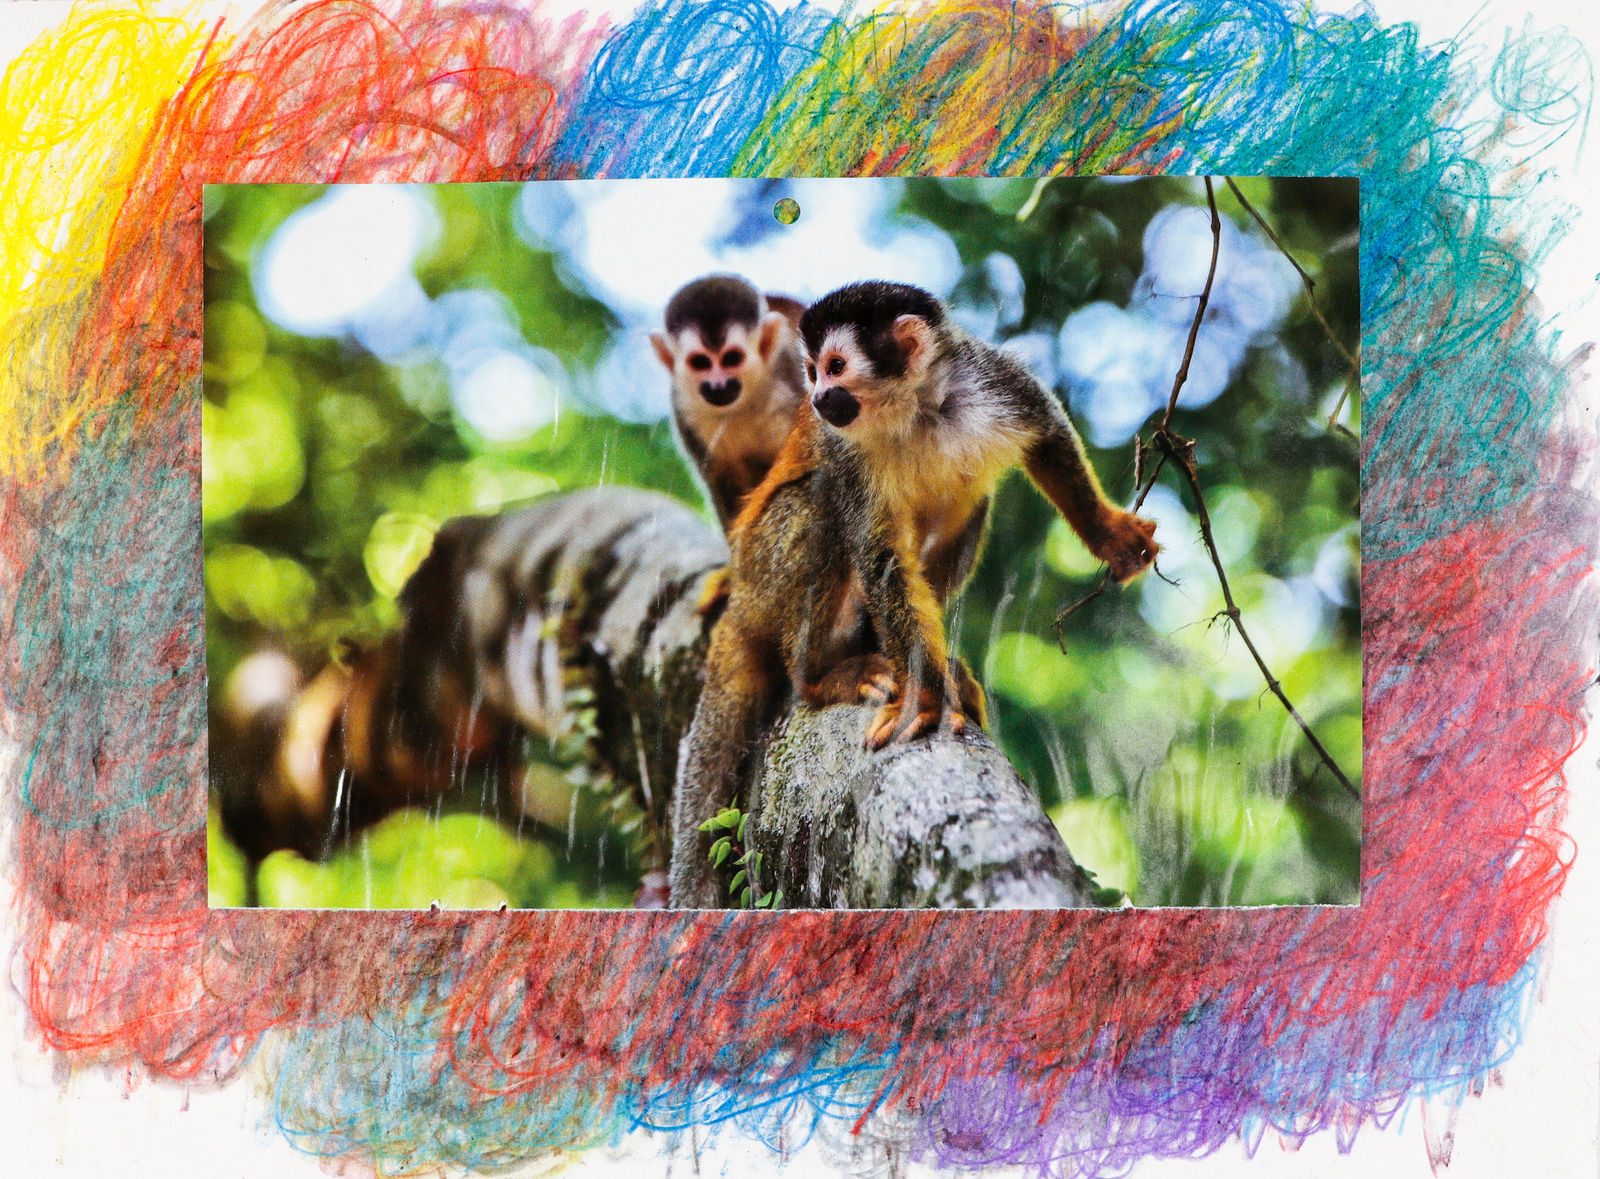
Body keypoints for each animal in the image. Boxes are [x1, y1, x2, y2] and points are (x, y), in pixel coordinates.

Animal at [651, 275, 809, 530]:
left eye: (732, 358)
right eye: (700, 362)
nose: (719, 386)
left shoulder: (790, 372)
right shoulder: (683, 408)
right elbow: (722, 479)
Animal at [668, 281, 1159, 907]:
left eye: (834, 367)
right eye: (812, 372)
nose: (819, 398)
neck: (916, 410)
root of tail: (740, 596)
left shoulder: (994, 381)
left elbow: (1048, 434)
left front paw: (1107, 533)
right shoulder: (846, 450)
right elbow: (878, 556)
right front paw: (924, 695)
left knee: (969, 502)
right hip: (764, 571)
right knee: (821, 503)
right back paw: (820, 677)